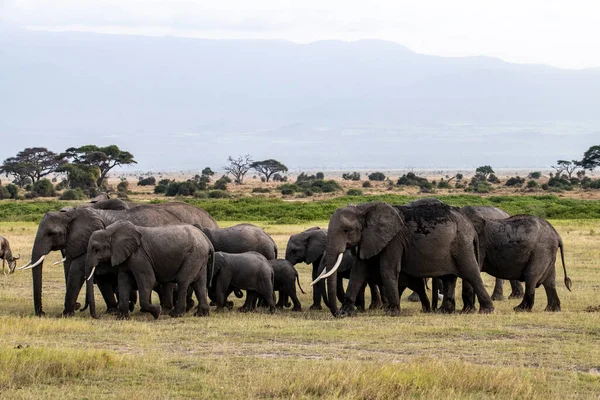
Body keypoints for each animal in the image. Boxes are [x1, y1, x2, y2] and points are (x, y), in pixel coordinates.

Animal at [85, 222, 213, 318]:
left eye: (96, 249)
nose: (98, 316)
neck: (110, 231)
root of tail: (207, 240)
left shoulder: (139, 256)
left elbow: (148, 280)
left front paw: (157, 312)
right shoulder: (124, 257)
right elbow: (123, 282)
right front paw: (122, 318)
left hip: (194, 255)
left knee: (183, 281)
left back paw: (175, 314)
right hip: (200, 257)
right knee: (200, 284)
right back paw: (201, 314)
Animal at [312, 202, 494, 318]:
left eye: (346, 230)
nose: (338, 314)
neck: (364, 209)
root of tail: (470, 227)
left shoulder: (393, 240)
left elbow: (388, 270)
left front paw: (391, 313)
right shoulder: (369, 239)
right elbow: (358, 272)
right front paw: (347, 312)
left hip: (461, 244)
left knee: (470, 272)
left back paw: (487, 310)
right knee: (449, 278)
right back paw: (445, 312)